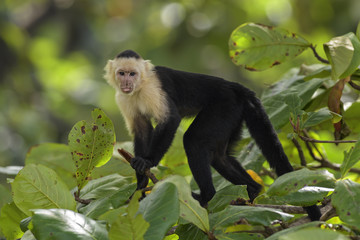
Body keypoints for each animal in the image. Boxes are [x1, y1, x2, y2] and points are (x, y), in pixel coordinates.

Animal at [103, 49, 320, 220]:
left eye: (133, 73)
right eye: (122, 73)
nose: (126, 81)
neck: (139, 88)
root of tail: (235, 87)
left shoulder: (153, 89)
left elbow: (170, 120)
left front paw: (148, 162)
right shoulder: (123, 98)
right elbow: (141, 129)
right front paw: (140, 184)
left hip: (224, 105)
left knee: (194, 142)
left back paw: (206, 196)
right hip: (233, 115)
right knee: (219, 157)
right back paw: (252, 191)